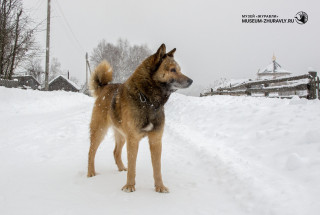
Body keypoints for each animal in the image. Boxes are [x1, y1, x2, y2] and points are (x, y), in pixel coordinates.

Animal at [87, 43, 192, 193]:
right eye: (173, 70)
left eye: (179, 70)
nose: (191, 81)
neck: (148, 100)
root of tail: (104, 87)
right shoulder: (133, 140)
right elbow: (132, 166)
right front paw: (129, 185)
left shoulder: (155, 140)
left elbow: (157, 168)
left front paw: (160, 186)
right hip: (99, 131)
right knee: (91, 152)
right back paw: (90, 172)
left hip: (121, 135)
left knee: (116, 152)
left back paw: (121, 168)